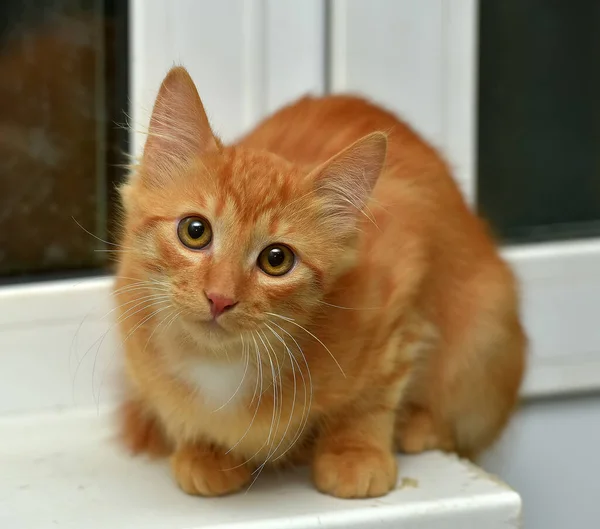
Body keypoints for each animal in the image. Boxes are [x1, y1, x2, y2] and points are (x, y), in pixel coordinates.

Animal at [116, 67, 524, 500]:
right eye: (195, 232)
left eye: (276, 260)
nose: (220, 298)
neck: (222, 361)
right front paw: (203, 449)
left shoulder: (398, 309)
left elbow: (370, 399)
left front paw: (355, 453)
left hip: (485, 333)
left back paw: (418, 427)